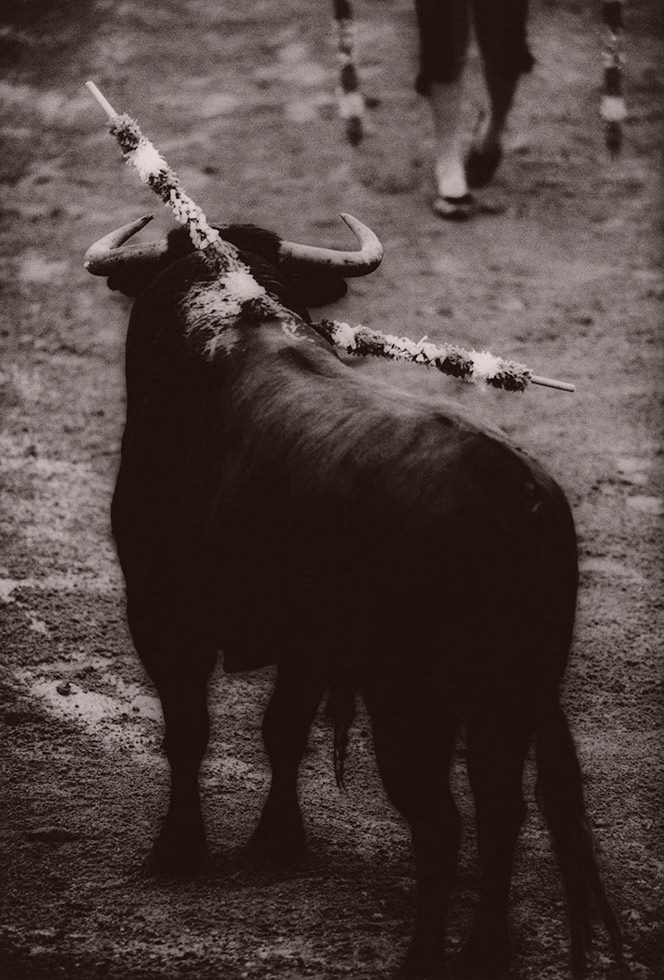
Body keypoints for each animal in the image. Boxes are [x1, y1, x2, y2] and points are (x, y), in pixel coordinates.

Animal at [85, 216, 620, 980]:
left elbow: (190, 730)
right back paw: (486, 949)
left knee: (441, 823)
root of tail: (507, 487)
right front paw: (278, 840)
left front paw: (178, 848)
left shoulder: (163, 611)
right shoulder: (309, 644)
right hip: (509, 696)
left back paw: (424, 958)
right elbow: (281, 728)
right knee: (501, 810)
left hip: (411, 704)